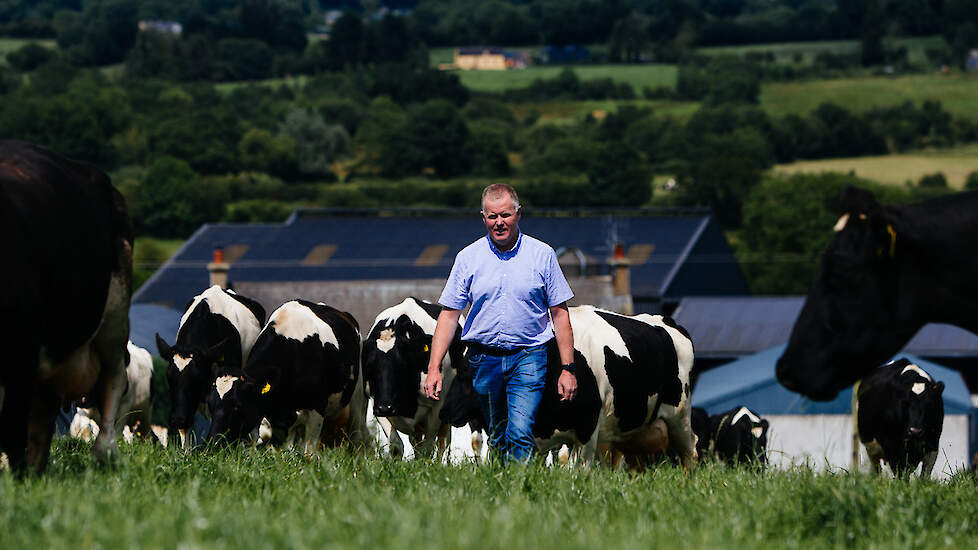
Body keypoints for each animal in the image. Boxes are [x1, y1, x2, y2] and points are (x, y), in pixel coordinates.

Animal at [204, 300, 368, 454]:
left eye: (238, 405)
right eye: (210, 404)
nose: (214, 444)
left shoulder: (317, 407)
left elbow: (309, 451)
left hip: (358, 393)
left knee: (356, 429)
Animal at [364, 300, 474, 460]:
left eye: (402, 364)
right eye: (370, 366)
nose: (385, 407)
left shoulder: (436, 406)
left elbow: (428, 448)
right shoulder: (374, 401)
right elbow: (397, 446)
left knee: (443, 442)